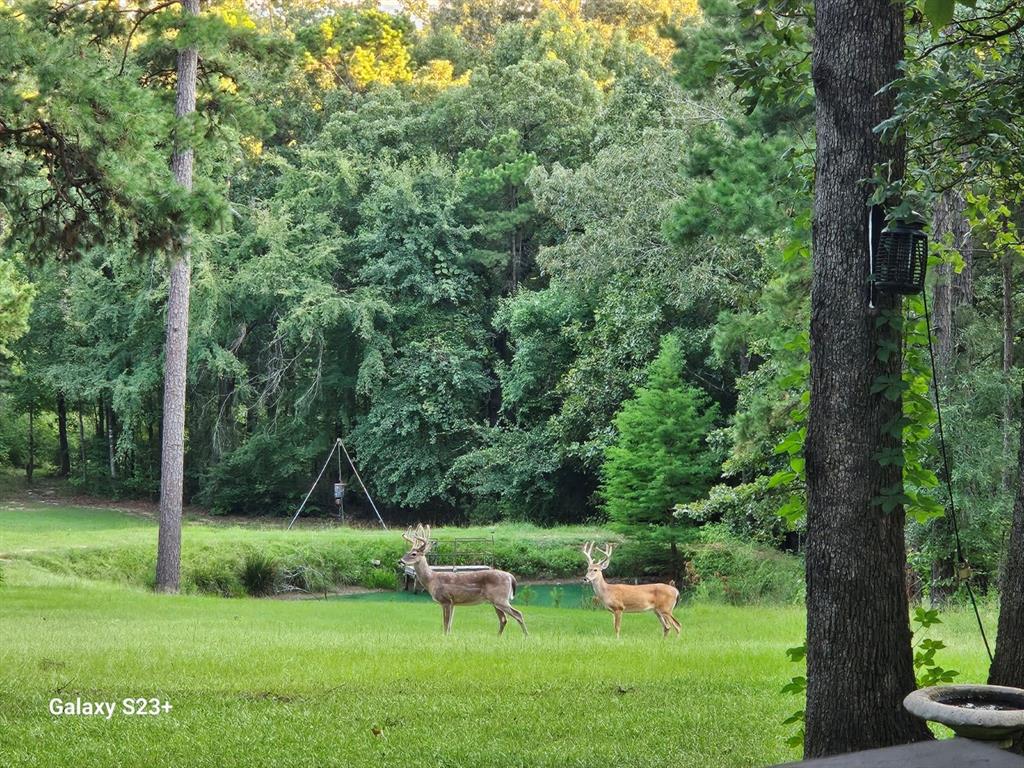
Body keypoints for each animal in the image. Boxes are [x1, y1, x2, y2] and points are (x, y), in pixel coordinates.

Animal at [399, 524, 528, 637]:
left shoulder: (446, 600)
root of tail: (511, 577)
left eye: (413, 554)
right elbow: (449, 625)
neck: (432, 580)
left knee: (518, 614)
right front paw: (448, 637)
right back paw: (498, 637)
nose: (400, 561)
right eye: (406, 552)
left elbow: (446, 623)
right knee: (503, 619)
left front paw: (444, 637)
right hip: (495, 601)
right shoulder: (453, 602)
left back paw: (526, 636)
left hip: (500, 598)